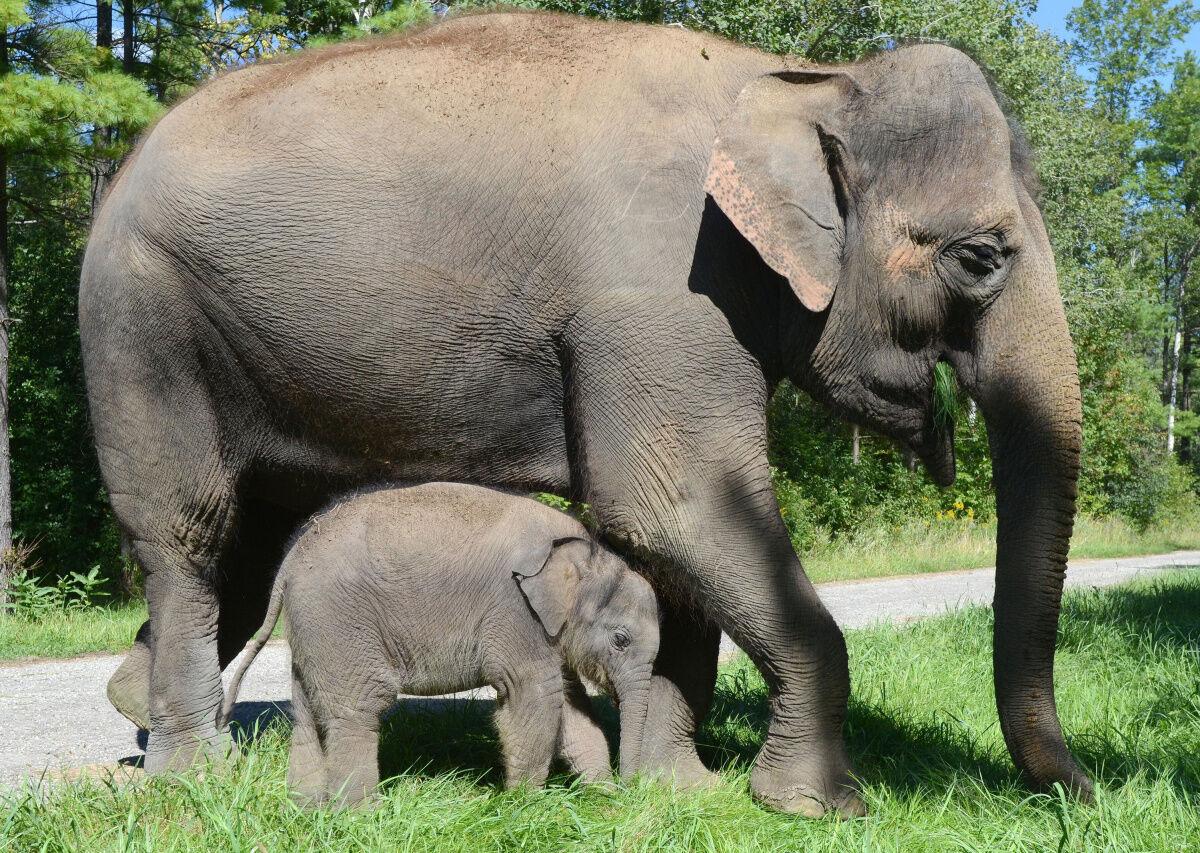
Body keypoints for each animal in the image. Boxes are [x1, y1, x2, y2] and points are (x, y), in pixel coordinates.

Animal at [220, 484, 662, 806]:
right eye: (620, 640)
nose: (632, 790)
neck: (587, 556)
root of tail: (289, 563)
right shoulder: (514, 611)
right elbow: (535, 695)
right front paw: (522, 807)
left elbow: (570, 704)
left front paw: (602, 800)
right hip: (338, 618)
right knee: (358, 706)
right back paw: (362, 817)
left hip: (312, 628)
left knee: (307, 712)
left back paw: (307, 809)